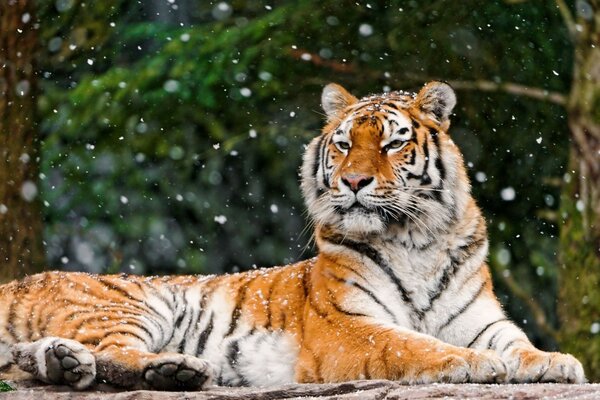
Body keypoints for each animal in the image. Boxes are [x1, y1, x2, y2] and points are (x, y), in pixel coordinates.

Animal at [0, 81, 584, 390]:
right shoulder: (347, 326)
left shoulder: (481, 318)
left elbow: (518, 342)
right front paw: (470, 363)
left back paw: (68, 363)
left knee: (45, 359)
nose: (354, 182)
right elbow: (410, 344)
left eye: (392, 144)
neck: (415, 239)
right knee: (112, 354)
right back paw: (175, 369)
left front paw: (556, 362)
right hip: (128, 305)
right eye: (344, 145)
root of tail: (21, 280)